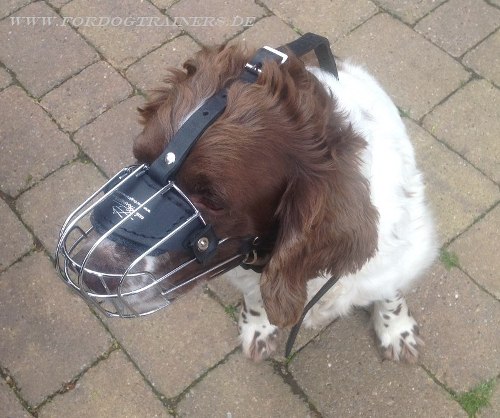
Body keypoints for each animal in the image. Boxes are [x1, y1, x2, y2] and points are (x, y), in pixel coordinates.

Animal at [75, 41, 438, 362]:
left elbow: (390, 293)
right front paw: (258, 328)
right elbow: (256, 298)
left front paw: (396, 330)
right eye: (139, 160)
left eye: (212, 199)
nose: (86, 273)